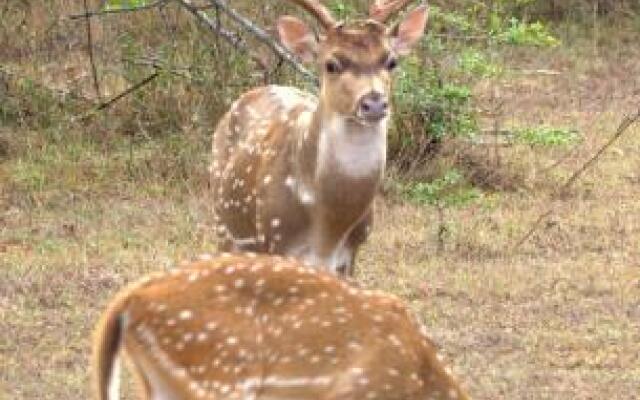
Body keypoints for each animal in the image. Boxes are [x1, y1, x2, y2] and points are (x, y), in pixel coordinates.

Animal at [211, 0, 430, 276]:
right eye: (331, 64)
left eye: (391, 61)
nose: (374, 103)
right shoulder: (274, 238)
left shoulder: (351, 253)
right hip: (222, 220)